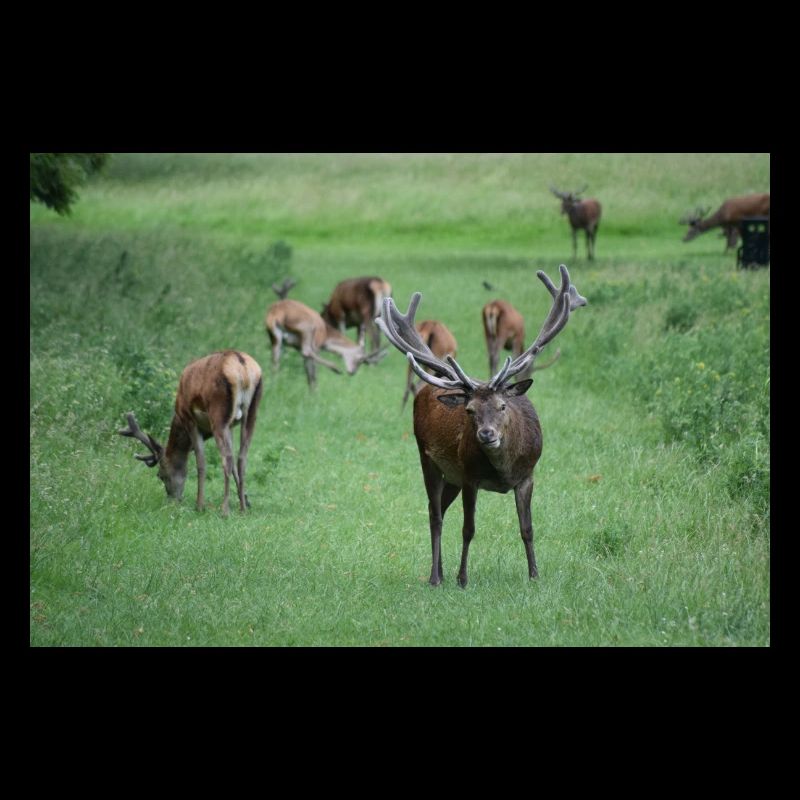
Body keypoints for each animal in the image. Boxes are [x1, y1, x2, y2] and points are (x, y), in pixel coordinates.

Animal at [117, 350, 263, 516]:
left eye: (160, 475)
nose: (172, 500)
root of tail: (242, 365)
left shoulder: (189, 419)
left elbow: (200, 461)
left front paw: (199, 505)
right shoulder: (231, 425)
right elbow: (233, 467)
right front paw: (245, 500)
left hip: (218, 414)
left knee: (227, 458)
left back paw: (224, 510)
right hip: (252, 412)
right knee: (241, 459)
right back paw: (243, 509)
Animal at [376, 265, 587, 587]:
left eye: (502, 406)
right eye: (469, 410)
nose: (486, 434)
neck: (503, 468)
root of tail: (426, 389)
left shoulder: (527, 476)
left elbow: (528, 528)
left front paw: (534, 575)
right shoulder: (470, 477)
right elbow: (469, 529)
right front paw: (463, 578)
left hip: (451, 476)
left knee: (440, 508)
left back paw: (440, 571)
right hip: (428, 458)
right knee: (434, 514)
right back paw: (435, 577)